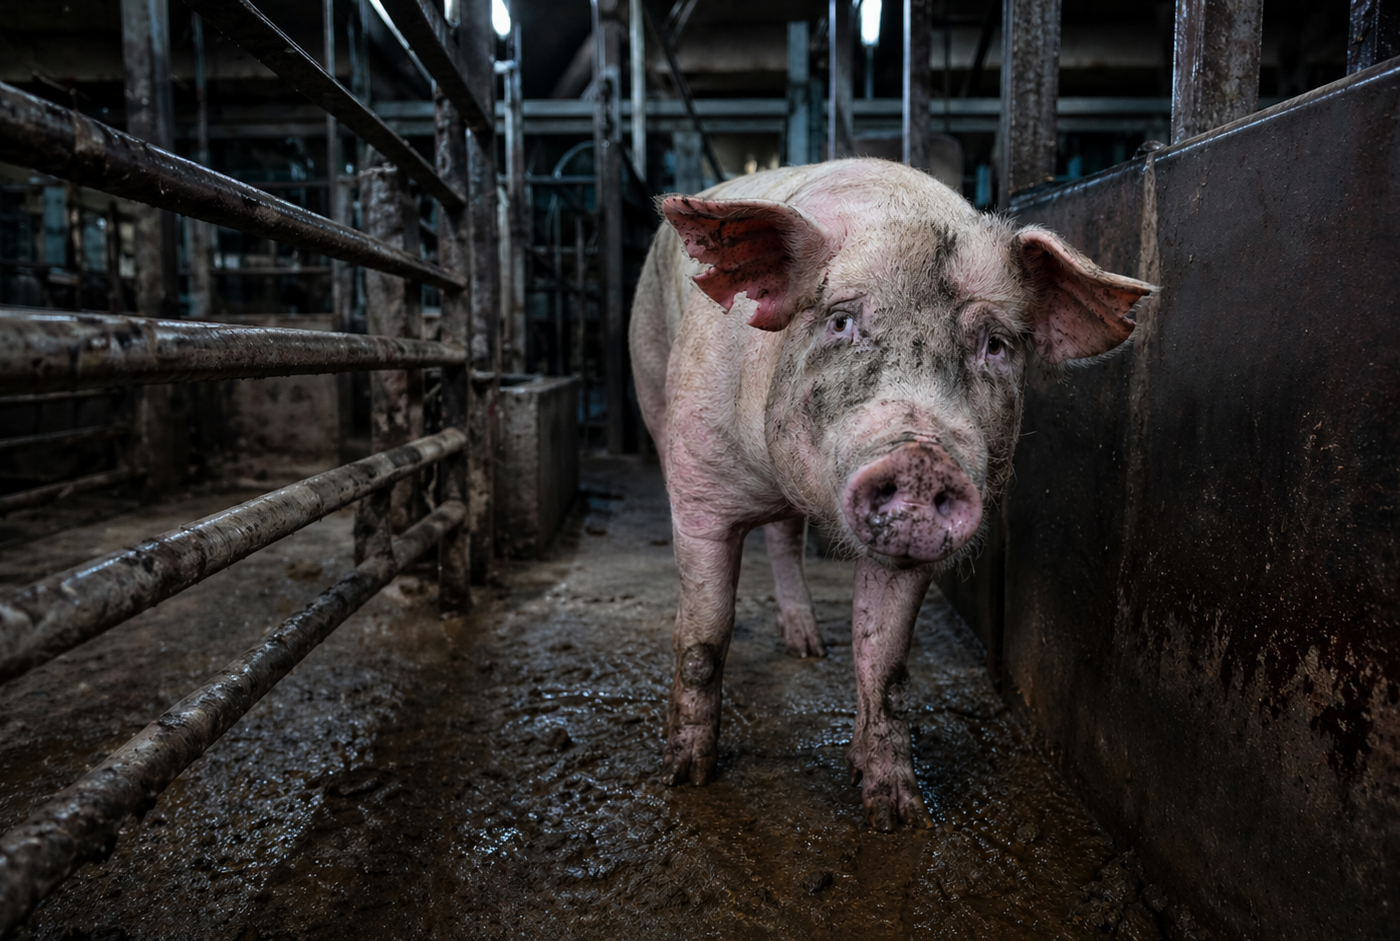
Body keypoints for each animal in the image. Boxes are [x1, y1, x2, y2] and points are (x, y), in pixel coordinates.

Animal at [629, 158, 1155, 831]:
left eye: (995, 344)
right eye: (841, 321)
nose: (922, 458)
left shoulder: (911, 559)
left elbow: (885, 659)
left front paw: (897, 812)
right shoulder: (699, 484)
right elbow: (703, 635)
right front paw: (686, 777)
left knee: (783, 538)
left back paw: (809, 648)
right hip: (649, 377)